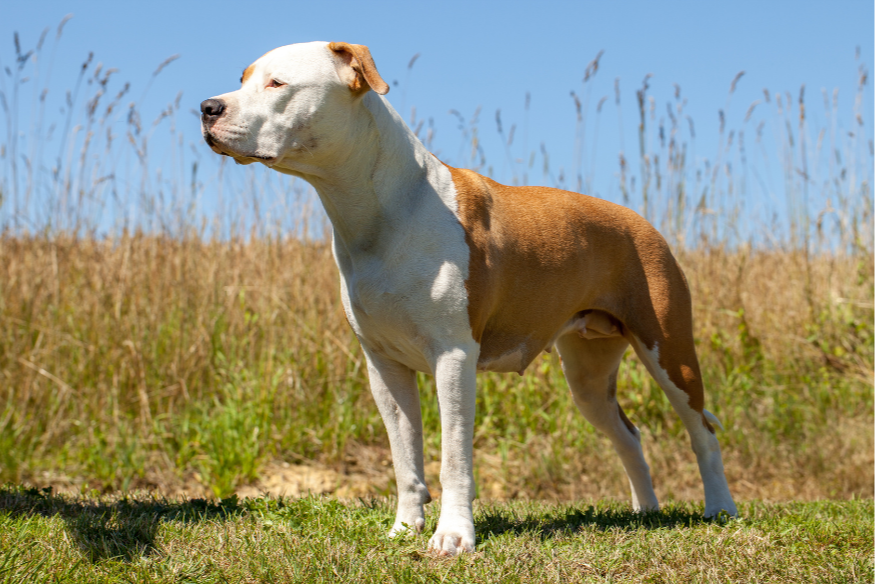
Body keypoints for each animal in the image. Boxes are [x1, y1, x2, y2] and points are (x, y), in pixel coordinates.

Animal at [200, 41, 737, 555]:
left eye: (277, 83)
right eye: (243, 79)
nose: (207, 107)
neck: (381, 207)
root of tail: (640, 221)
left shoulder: (454, 357)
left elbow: (454, 457)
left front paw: (454, 537)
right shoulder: (384, 366)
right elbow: (405, 459)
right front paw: (404, 529)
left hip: (669, 350)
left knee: (703, 432)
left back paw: (720, 509)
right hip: (588, 376)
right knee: (629, 435)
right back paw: (645, 510)